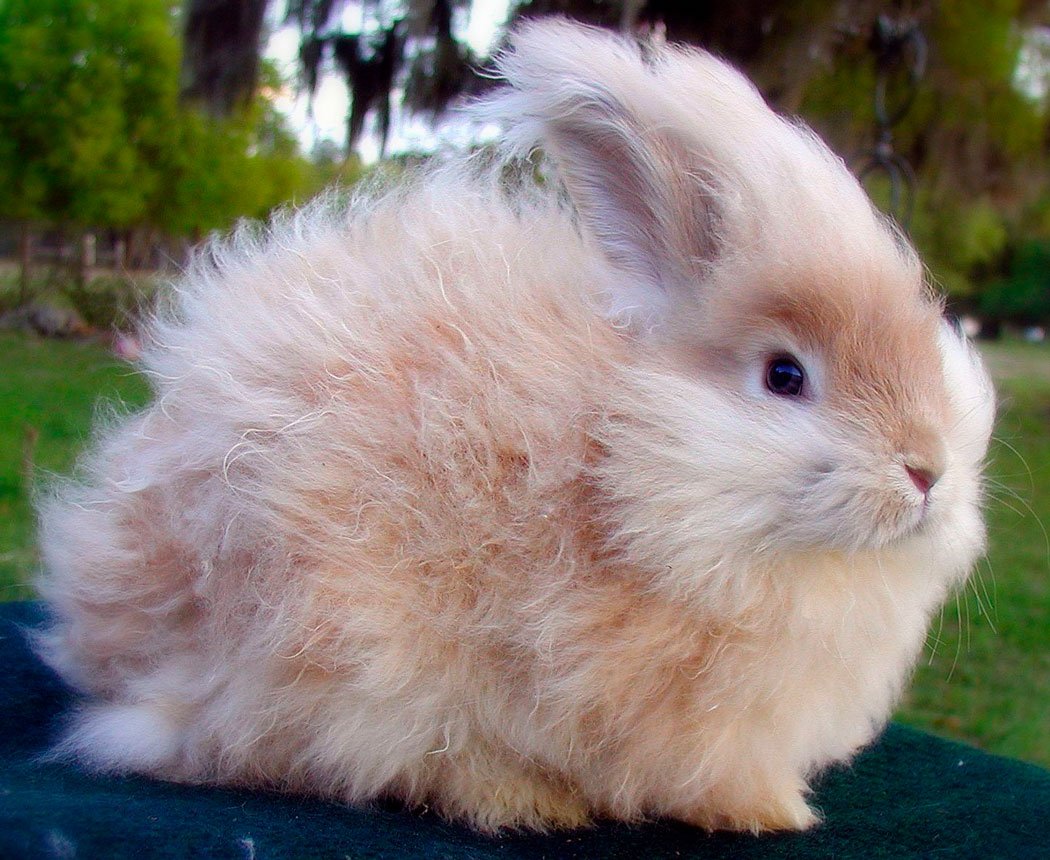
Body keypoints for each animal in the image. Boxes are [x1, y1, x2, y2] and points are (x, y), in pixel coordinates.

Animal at [35, 18, 995, 835]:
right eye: (785, 376)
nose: (927, 471)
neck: (616, 468)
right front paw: (773, 814)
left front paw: (770, 807)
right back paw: (525, 798)